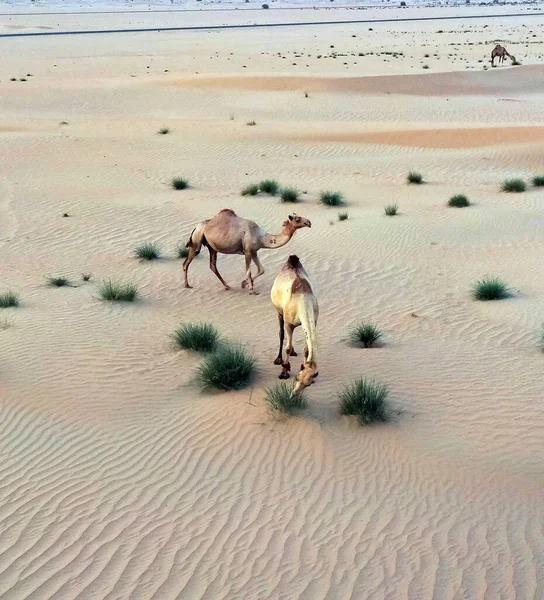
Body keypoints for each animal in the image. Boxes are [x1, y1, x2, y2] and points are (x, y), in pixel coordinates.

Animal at [270, 254, 318, 398]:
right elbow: (287, 347)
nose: (293, 395)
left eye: (308, 384)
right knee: (281, 333)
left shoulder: (313, 321)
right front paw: (284, 372)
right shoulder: (288, 323)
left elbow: (306, 349)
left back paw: (293, 352)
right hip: (279, 311)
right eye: (297, 378)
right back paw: (278, 359)